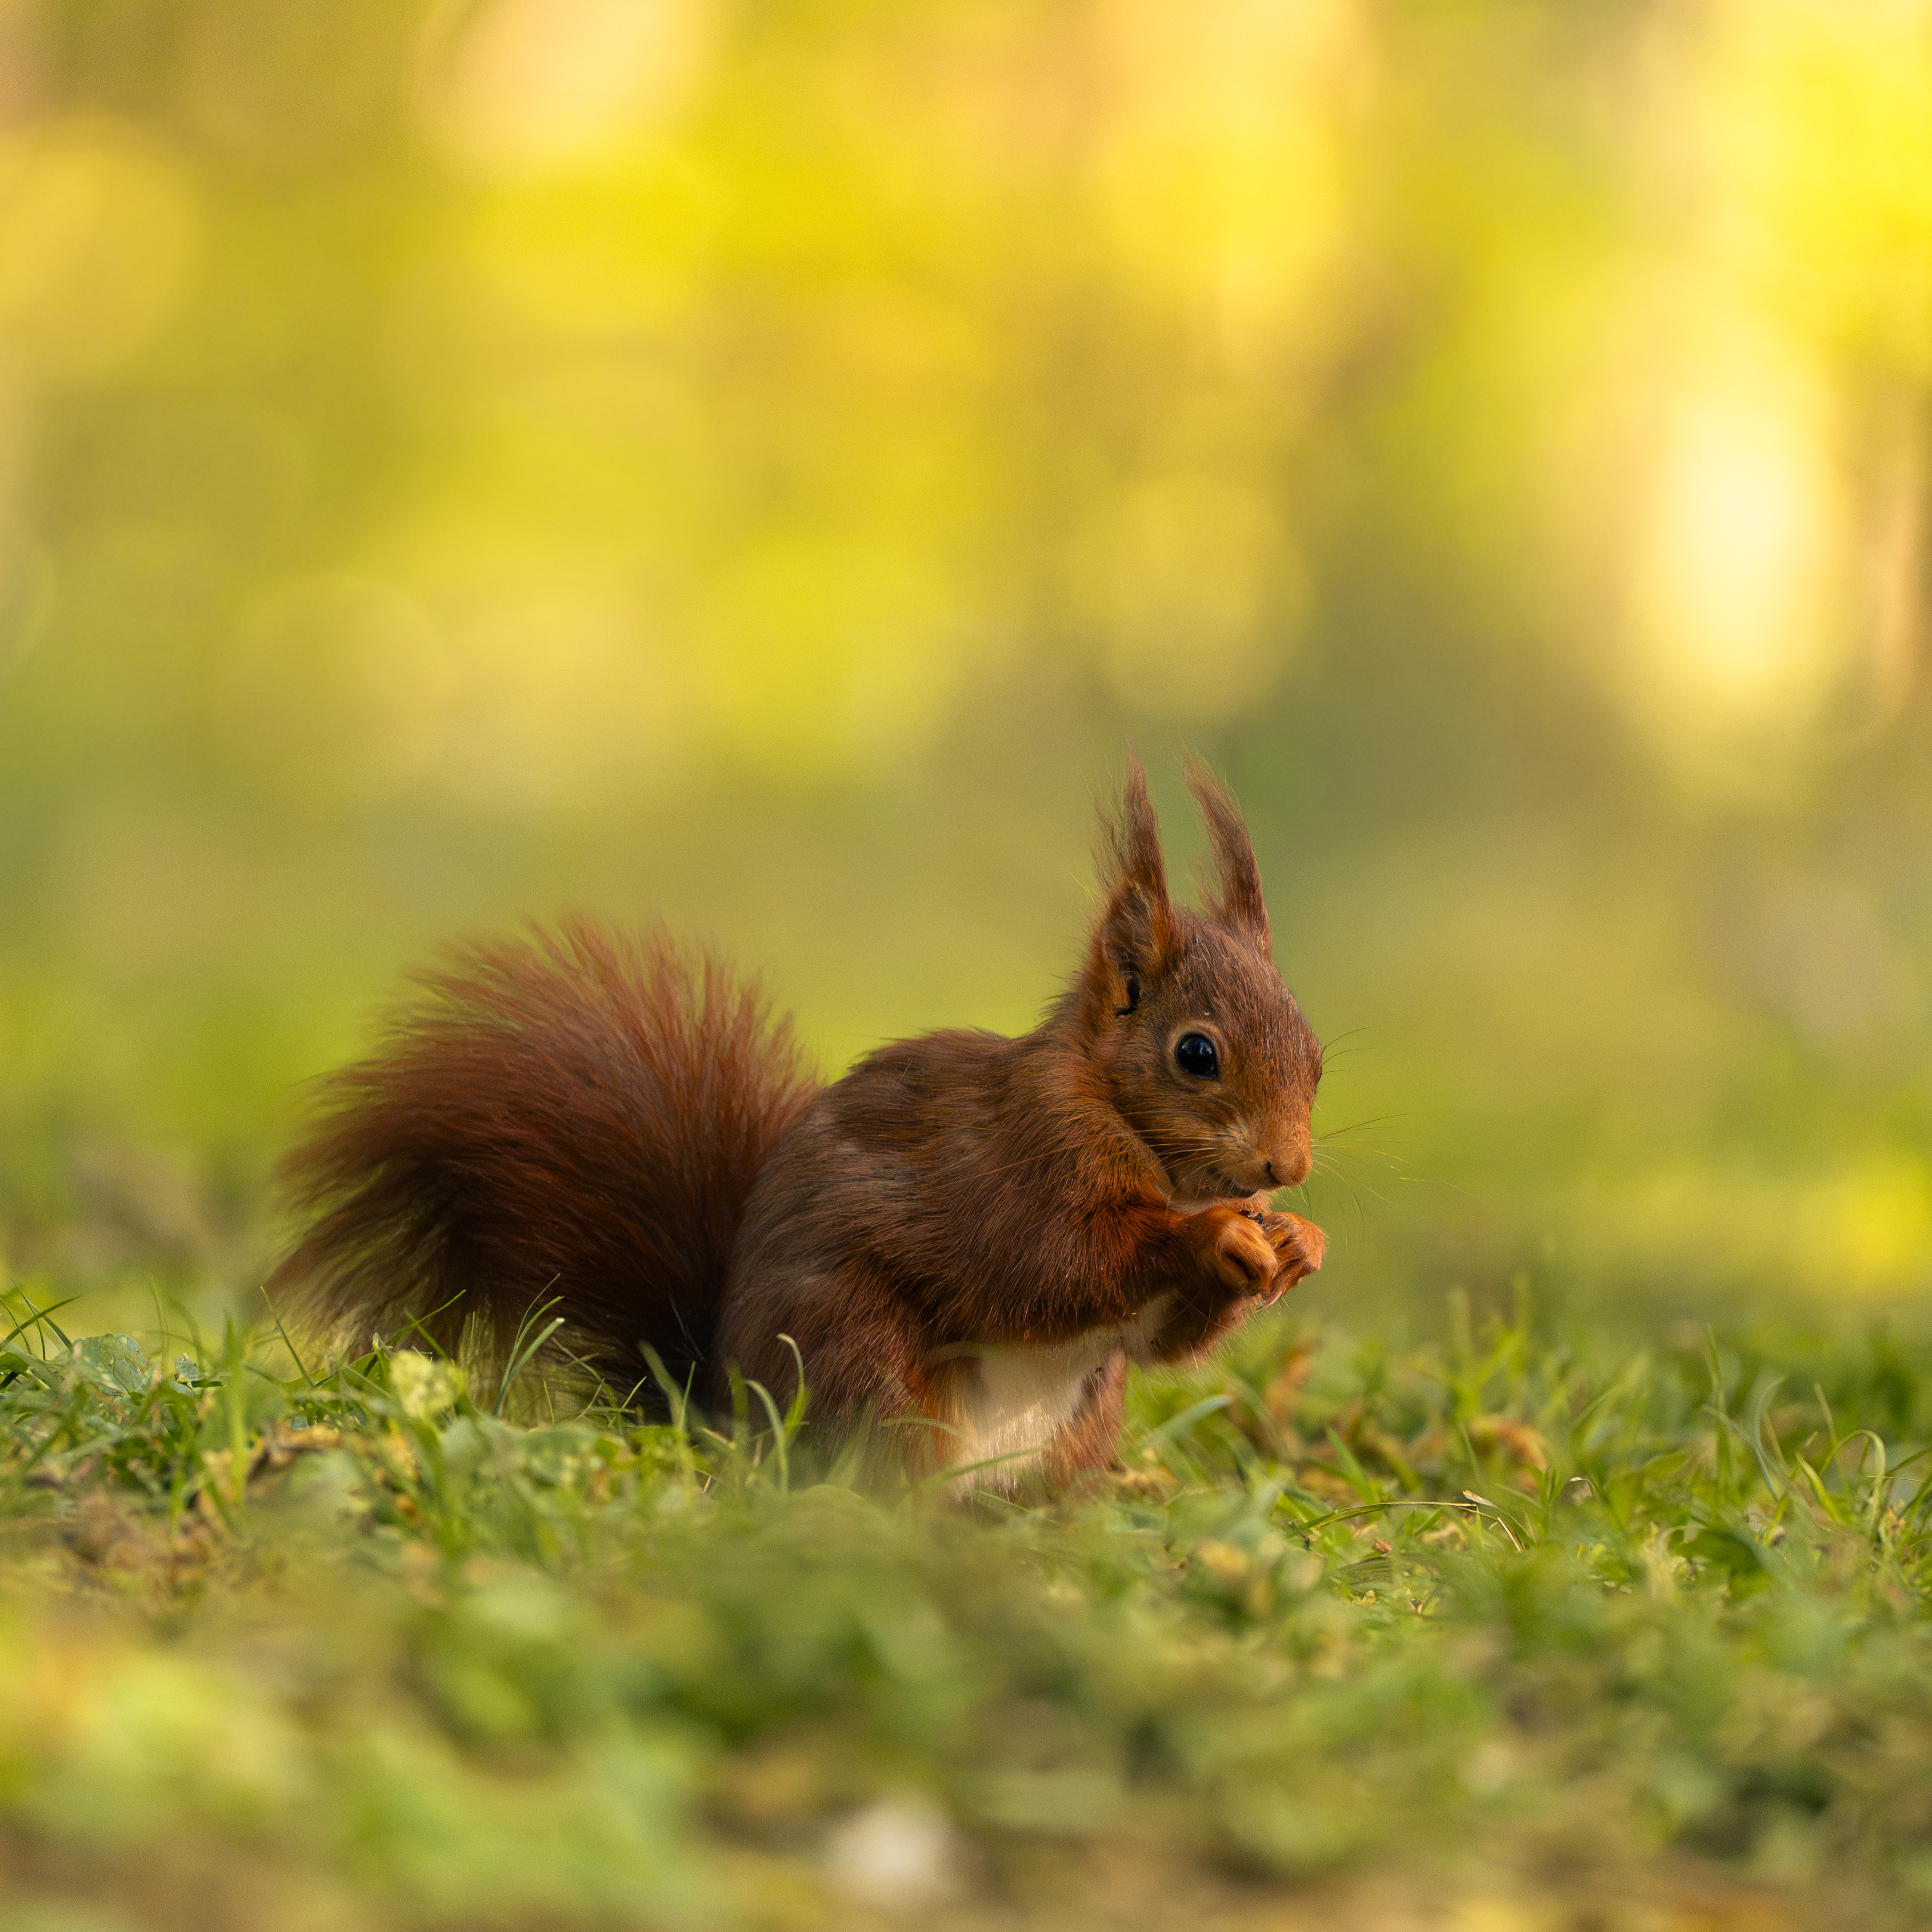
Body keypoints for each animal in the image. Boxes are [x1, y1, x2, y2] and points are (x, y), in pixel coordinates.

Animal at [269, 756, 1326, 1489]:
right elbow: (1054, 1266)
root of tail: (723, 1417)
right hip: (867, 1364)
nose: (1288, 1167)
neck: (1129, 1128)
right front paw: (1217, 1235)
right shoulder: (1016, 1164)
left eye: (1315, 1050)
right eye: (1196, 1053)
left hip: (1077, 1427)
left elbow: (1157, 1344)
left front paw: (1294, 1242)